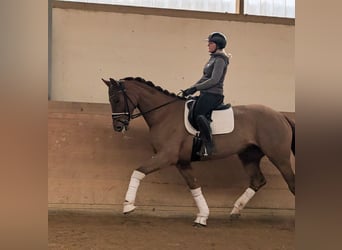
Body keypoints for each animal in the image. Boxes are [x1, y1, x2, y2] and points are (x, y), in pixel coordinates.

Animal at [101, 76, 294, 227]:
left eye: (117, 100)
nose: (118, 126)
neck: (164, 114)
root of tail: (280, 115)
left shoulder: (166, 156)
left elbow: (138, 171)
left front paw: (128, 205)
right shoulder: (182, 161)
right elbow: (194, 186)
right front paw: (202, 217)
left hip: (279, 157)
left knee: (290, 182)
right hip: (249, 156)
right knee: (257, 180)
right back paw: (235, 211)